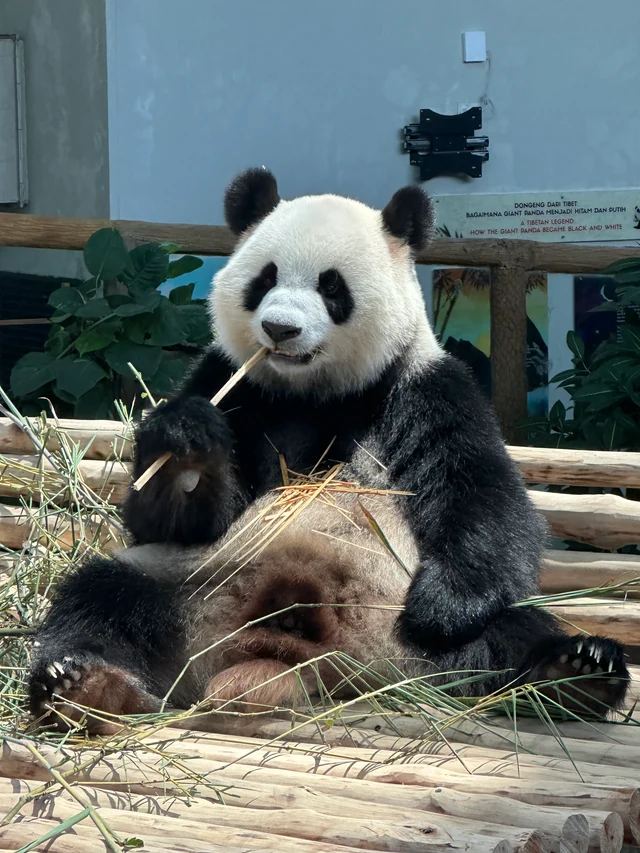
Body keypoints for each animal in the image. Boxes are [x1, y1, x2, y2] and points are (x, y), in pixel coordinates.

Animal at [29, 168, 629, 734]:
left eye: (331, 287)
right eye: (264, 279)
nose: (279, 328)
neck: (312, 392)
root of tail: (302, 660)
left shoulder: (427, 388)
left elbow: (482, 497)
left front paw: (442, 606)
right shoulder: (229, 380)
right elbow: (166, 523)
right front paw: (187, 446)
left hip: (404, 628)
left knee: (510, 631)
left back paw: (576, 672)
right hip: (191, 588)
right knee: (103, 595)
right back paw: (87, 688)